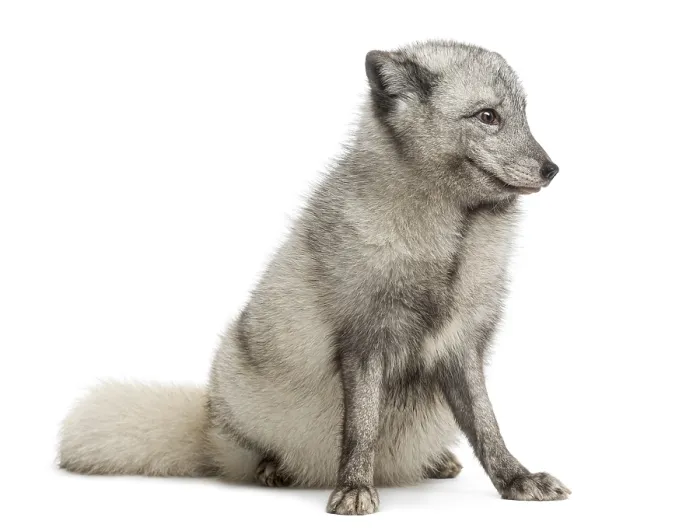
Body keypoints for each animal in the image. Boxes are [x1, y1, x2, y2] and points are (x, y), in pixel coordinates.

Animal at [59, 40, 570, 515]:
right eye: (488, 116)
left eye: (524, 115)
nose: (553, 169)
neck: (450, 246)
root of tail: (206, 426)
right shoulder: (363, 343)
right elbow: (361, 426)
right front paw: (354, 487)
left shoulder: (462, 347)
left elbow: (486, 424)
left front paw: (516, 479)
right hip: (237, 390)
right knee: (239, 456)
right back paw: (273, 468)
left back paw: (434, 461)